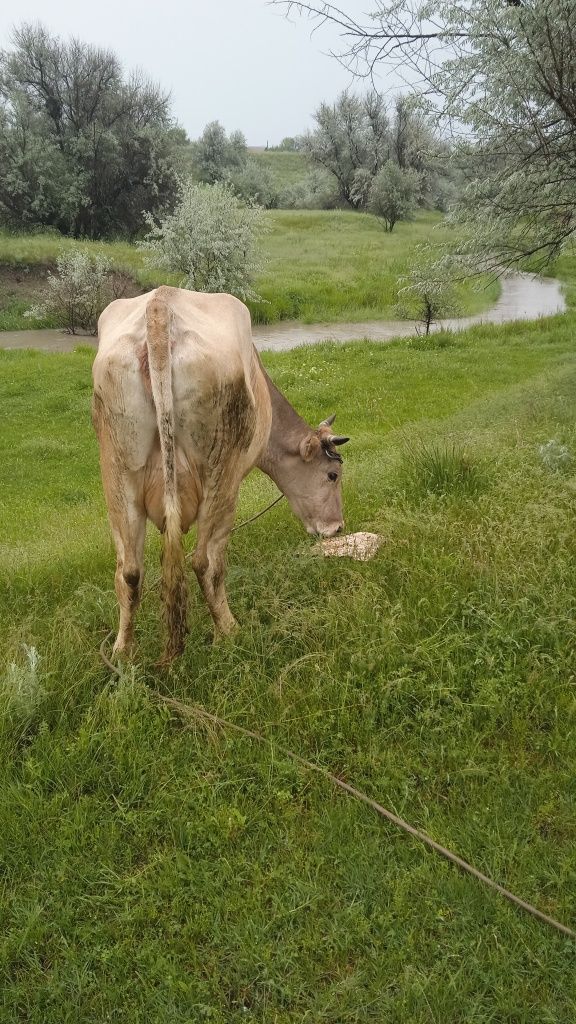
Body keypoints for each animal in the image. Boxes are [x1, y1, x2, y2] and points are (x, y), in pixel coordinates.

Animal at [91, 284, 348, 659]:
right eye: (332, 475)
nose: (337, 528)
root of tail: (159, 304)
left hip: (117, 475)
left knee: (130, 570)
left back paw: (123, 651)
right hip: (221, 474)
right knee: (206, 562)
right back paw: (228, 632)